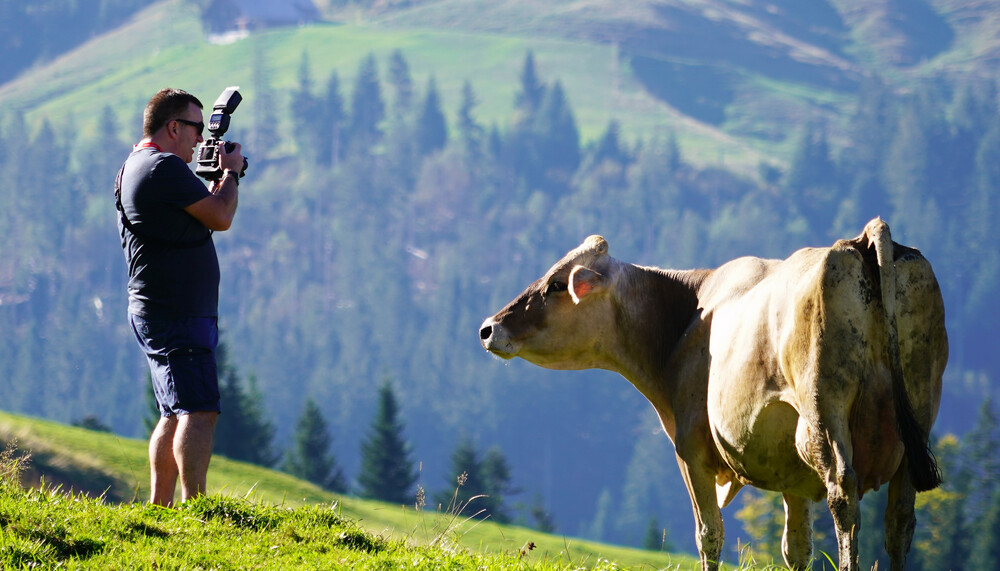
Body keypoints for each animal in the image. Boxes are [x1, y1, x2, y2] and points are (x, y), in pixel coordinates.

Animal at [480, 219, 948, 571]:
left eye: (557, 285)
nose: (488, 327)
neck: (686, 318)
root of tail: (863, 238)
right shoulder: (791, 470)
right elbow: (796, 548)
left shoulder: (691, 449)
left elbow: (708, 534)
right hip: (917, 410)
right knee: (899, 518)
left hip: (824, 404)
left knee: (844, 496)